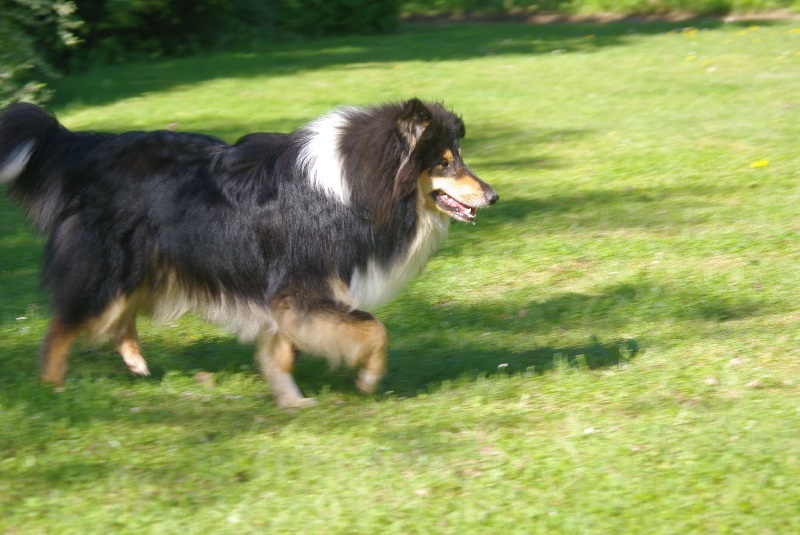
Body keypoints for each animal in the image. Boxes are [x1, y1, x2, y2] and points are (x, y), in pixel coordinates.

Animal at [0, 100, 496, 408]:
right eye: (444, 163)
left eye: (458, 157)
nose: (492, 195)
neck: (358, 185)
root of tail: (89, 146)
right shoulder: (301, 287)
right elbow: (374, 330)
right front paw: (367, 378)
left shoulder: (282, 296)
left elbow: (283, 351)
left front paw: (291, 400)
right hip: (110, 265)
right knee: (63, 327)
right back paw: (54, 390)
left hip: (151, 264)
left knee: (119, 318)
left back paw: (138, 366)